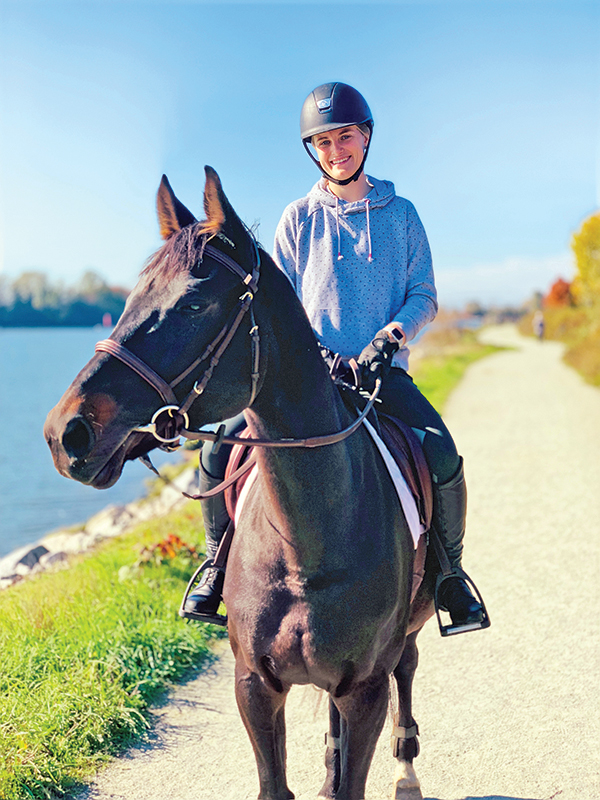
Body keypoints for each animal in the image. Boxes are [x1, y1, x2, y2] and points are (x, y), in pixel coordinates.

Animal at [44, 167, 437, 800]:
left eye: (194, 303)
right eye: (128, 301)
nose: (66, 433)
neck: (308, 545)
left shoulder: (366, 689)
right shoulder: (254, 684)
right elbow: (277, 782)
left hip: (405, 640)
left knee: (409, 669)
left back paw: (406, 769)